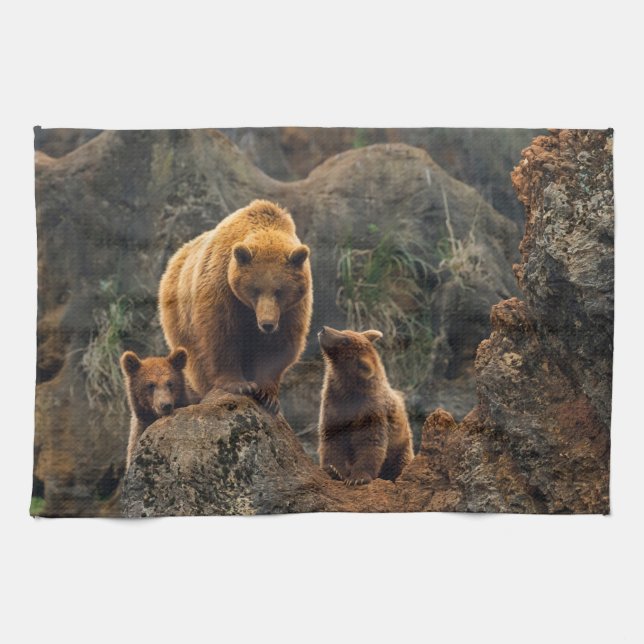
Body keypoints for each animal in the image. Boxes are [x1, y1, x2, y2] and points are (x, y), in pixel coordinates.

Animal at [158, 199, 313, 414]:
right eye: (255, 290)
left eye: (279, 291)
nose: (267, 324)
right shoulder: (222, 287)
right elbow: (221, 334)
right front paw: (239, 385)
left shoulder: (292, 308)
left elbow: (280, 344)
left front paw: (267, 395)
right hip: (180, 316)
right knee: (196, 358)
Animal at [317, 326, 414, 486]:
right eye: (345, 331)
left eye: (345, 340)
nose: (324, 329)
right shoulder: (333, 403)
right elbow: (332, 438)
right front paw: (333, 470)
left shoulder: (370, 411)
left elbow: (370, 442)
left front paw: (357, 478)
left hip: (400, 445)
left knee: (400, 463)